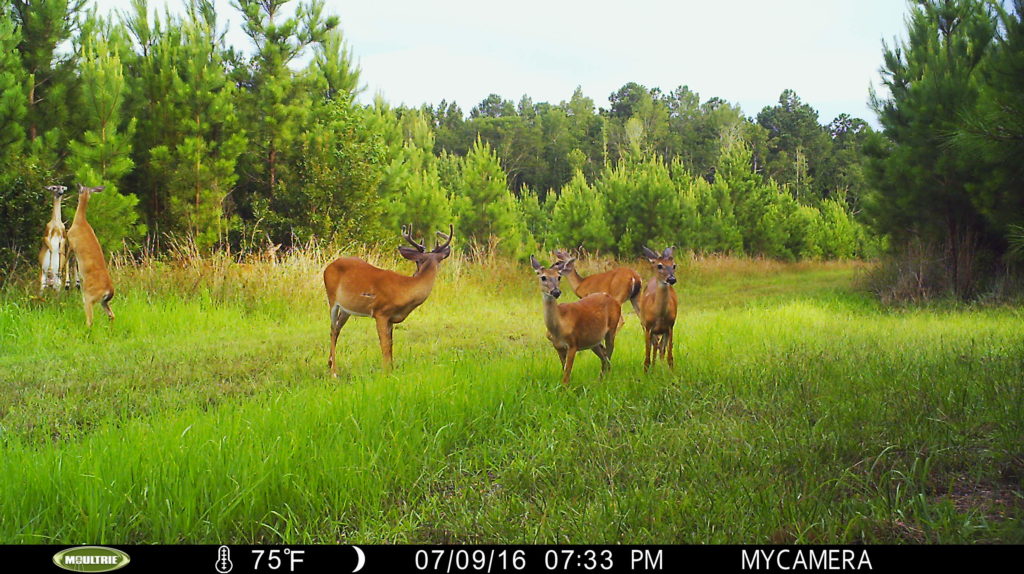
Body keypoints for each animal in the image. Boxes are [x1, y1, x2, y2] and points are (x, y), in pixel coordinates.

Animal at [65, 184, 113, 327]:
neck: (80, 221)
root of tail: (109, 291)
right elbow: (73, 264)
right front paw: (75, 282)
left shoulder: (71, 243)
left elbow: (66, 261)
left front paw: (67, 282)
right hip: (103, 301)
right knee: (111, 315)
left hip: (89, 297)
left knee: (90, 321)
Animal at [321, 222, 454, 374]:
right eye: (417, 262)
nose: (415, 274)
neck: (404, 289)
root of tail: (328, 267)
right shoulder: (381, 313)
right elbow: (384, 345)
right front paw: (385, 371)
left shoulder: (391, 319)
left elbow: (390, 345)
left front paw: (391, 368)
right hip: (332, 299)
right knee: (332, 330)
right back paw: (334, 372)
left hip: (346, 309)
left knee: (336, 330)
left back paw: (330, 364)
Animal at [532, 255, 618, 384]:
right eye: (543, 277)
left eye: (559, 276)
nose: (556, 292)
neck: (558, 327)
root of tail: (614, 300)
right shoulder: (558, 347)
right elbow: (564, 371)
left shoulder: (573, 343)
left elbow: (566, 376)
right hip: (593, 340)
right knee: (604, 357)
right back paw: (599, 380)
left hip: (612, 329)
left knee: (609, 354)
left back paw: (605, 380)